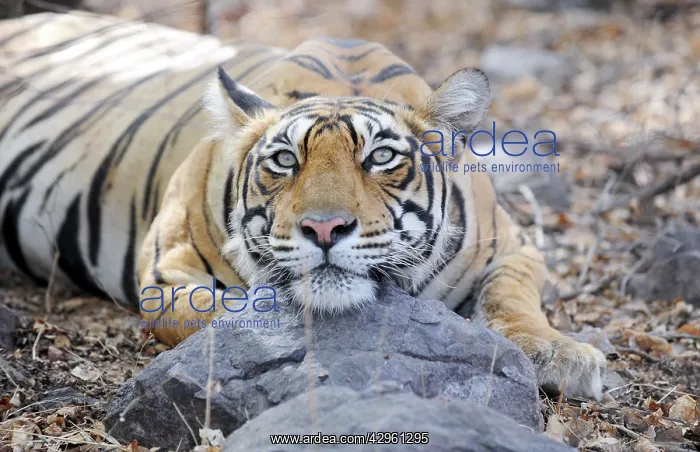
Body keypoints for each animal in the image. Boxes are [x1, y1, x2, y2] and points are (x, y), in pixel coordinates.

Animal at [0, 12, 606, 400]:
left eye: (380, 157)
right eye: (286, 160)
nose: (325, 228)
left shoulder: (515, 247)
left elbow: (512, 298)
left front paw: (565, 356)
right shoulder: (166, 273)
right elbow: (228, 316)